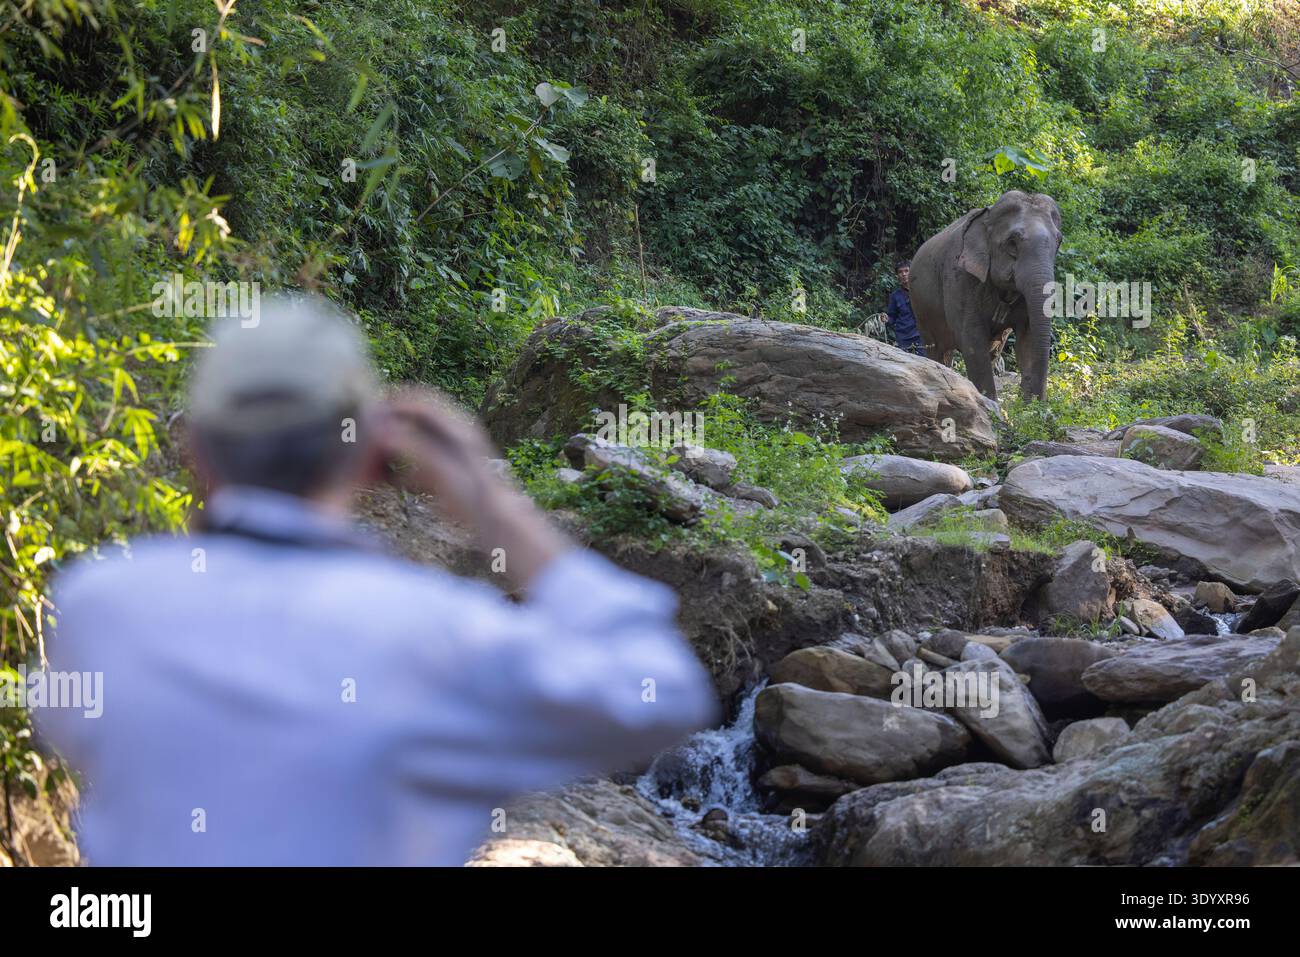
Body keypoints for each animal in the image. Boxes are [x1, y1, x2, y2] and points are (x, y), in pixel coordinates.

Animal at [909, 190, 1062, 400]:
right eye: (1012, 243)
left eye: (1059, 241)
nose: (1040, 401)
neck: (987, 218)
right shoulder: (960, 277)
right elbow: (973, 340)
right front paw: (989, 404)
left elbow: (1028, 337)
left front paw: (1028, 406)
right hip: (920, 310)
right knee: (937, 350)